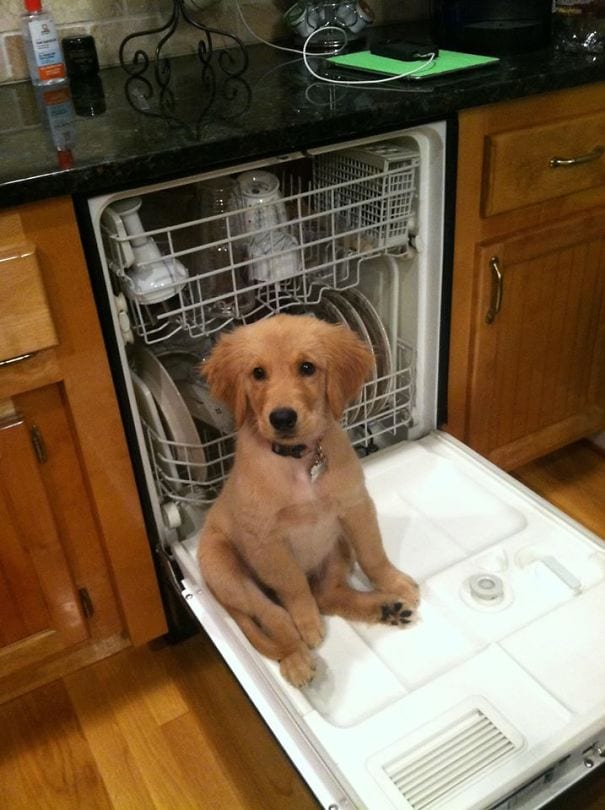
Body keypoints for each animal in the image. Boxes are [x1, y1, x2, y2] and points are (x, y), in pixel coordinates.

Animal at [196, 312, 418, 684]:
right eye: (258, 373)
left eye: (307, 367)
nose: (282, 417)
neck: (300, 460)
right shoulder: (267, 540)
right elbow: (294, 586)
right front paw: (307, 623)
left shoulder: (355, 506)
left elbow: (373, 554)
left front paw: (395, 582)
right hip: (222, 566)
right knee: (273, 614)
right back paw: (296, 657)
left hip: (338, 547)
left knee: (327, 595)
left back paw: (386, 607)